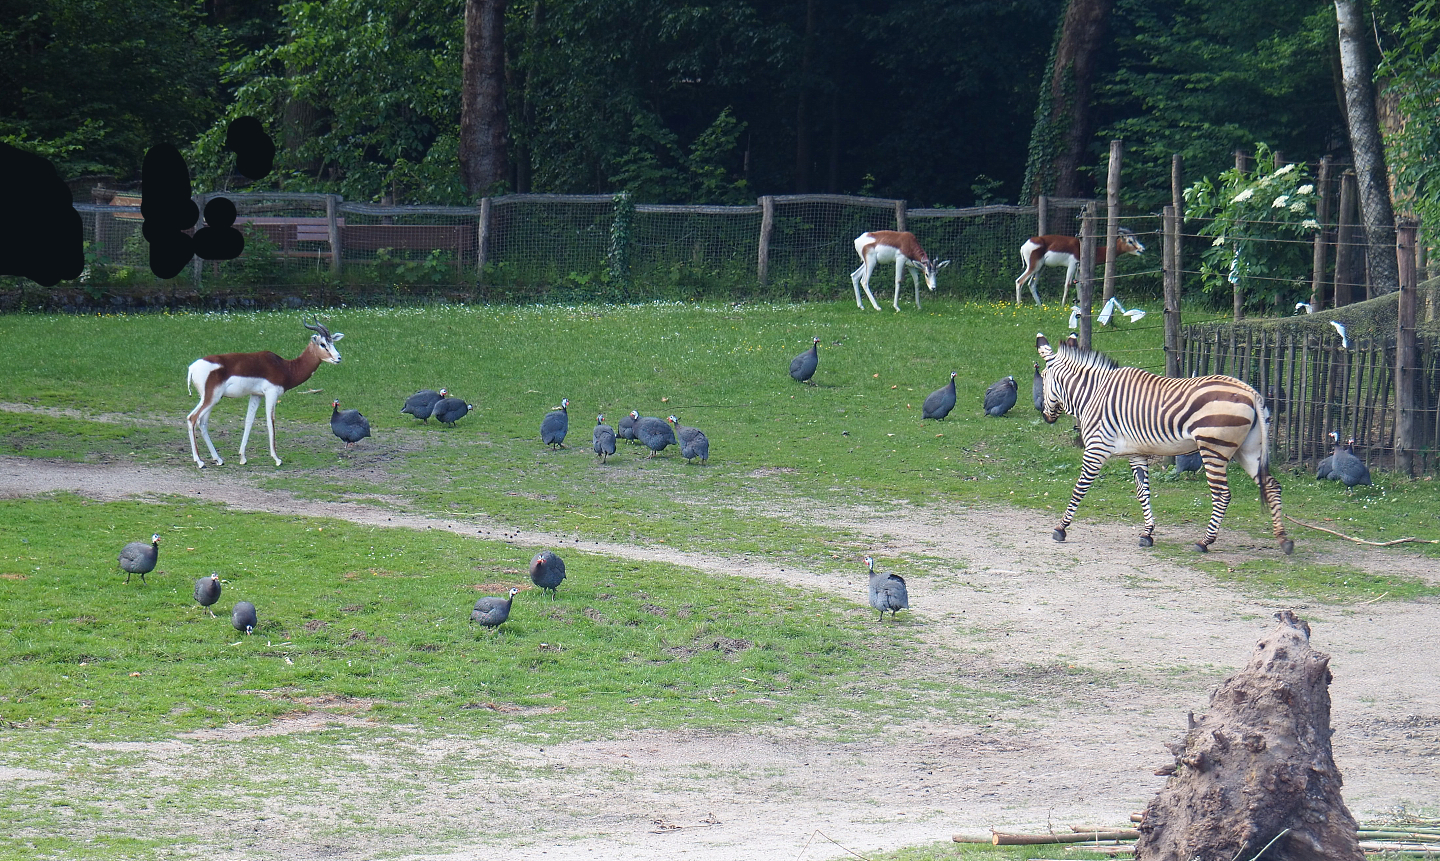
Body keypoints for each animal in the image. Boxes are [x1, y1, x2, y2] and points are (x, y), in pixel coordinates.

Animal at [1035, 333, 1293, 555]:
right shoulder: (1136, 453)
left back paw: (1204, 542)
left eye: (1044, 379)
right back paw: (1283, 540)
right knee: (1272, 486)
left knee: (1223, 495)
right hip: (1248, 450)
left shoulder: (1096, 449)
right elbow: (1143, 492)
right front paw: (1147, 533)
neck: (1093, 393)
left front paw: (1061, 528)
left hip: (1213, 449)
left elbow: (1080, 488)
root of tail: (1251, 392)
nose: (1045, 416)